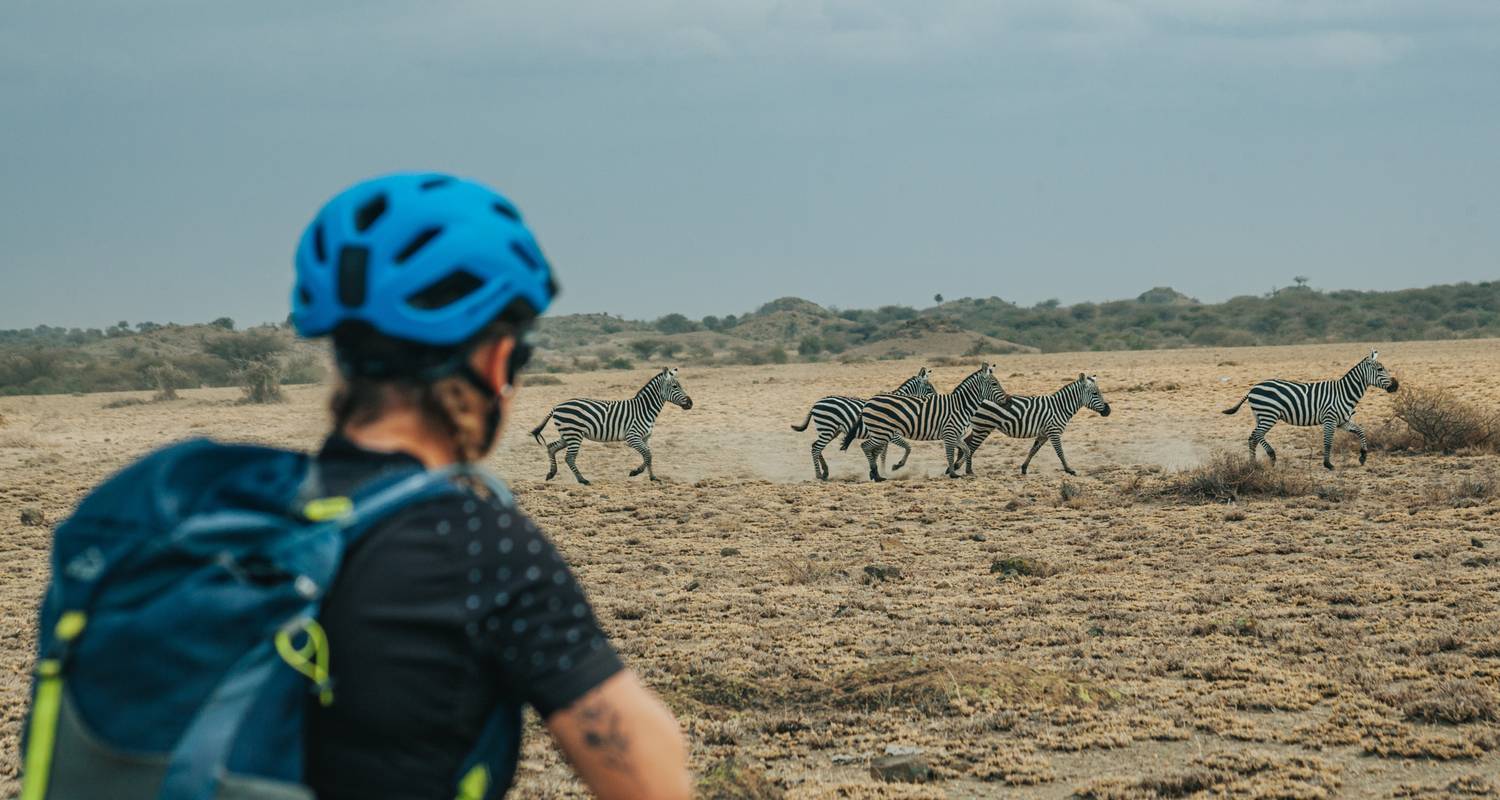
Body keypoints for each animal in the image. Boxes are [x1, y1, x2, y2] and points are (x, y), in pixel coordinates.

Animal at [531, 364, 693, 483]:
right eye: (675, 387)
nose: (690, 403)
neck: (644, 409)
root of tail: (556, 406)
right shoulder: (632, 437)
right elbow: (647, 455)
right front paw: (635, 472)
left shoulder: (646, 437)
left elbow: (649, 456)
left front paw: (653, 477)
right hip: (573, 434)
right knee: (569, 457)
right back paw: (582, 480)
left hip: (567, 434)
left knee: (551, 447)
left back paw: (551, 473)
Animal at [786, 367, 936, 480]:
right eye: (929, 388)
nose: (937, 397)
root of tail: (816, 403)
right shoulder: (892, 435)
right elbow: (906, 447)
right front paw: (892, 468)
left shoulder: (885, 436)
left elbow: (882, 454)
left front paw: (878, 472)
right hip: (827, 428)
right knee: (816, 448)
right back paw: (819, 475)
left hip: (832, 431)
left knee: (816, 447)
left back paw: (825, 472)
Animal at [846, 361, 1008, 480]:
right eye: (994, 384)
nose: (1007, 401)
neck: (961, 406)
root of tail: (869, 401)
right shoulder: (949, 433)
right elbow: (950, 454)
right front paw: (953, 473)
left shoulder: (956, 435)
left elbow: (967, 450)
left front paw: (959, 469)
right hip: (882, 432)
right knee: (866, 446)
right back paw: (876, 474)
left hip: (881, 433)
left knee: (872, 449)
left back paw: (876, 475)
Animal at [966, 372, 1110, 477]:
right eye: (1095, 393)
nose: (1108, 410)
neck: (1061, 407)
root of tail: (980, 397)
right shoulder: (1054, 431)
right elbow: (1060, 452)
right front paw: (1069, 470)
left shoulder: (1044, 434)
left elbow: (1033, 450)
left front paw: (1024, 468)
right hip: (983, 427)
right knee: (970, 447)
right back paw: (968, 470)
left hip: (979, 428)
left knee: (966, 444)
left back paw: (961, 468)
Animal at [1224, 349, 1398, 468]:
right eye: (1380, 369)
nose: (1395, 386)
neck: (1344, 392)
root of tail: (1252, 389)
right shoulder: (1330, 419)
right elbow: (1328, 442)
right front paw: (1328, 464)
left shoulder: (1342, 421)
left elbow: (1361, 431)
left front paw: (1363, 456)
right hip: (1269, 414)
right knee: (1257, 434)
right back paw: (1272, 457)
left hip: (1260, 415)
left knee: (1253, 437)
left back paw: (1252, 464)